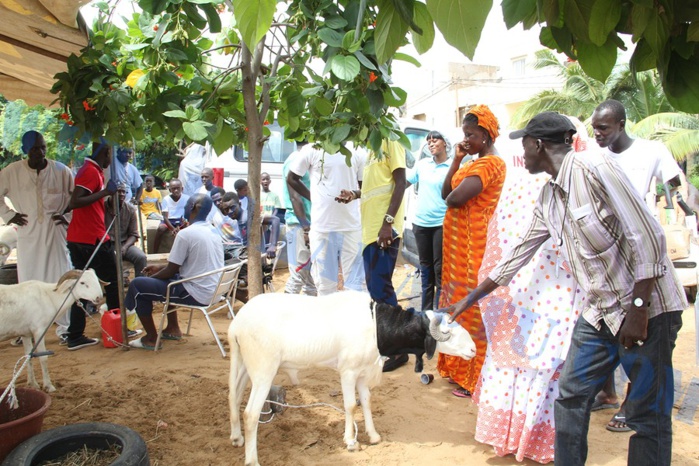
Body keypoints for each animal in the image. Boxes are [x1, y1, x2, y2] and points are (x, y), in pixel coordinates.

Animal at [228, 290, 476, 464]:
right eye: (448, 332)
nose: (473, 349)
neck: (376, 326)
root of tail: (237, 324)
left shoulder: (362, 373)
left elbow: (366, 402)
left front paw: (373, 436)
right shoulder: (347, 371)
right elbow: (350, 405)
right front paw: (350, 441)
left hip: (243, 364)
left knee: (234, 397)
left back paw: (236, 438)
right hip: (263, 370)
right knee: (250, 414)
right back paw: (252, 460)